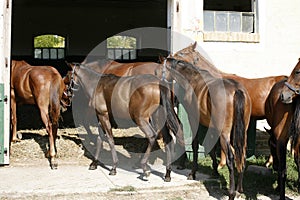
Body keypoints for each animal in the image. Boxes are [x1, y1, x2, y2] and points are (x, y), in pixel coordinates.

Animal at [163, 57, 252, 199]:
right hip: (242, 132)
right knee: (241, 155)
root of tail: (237, 90)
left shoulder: (193, 119)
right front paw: (215, 171)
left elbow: (195, 145)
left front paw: (192, 173)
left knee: (231, 157)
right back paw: (239, 189)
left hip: (225, 134)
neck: (192, 79)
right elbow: (212, 147)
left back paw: (232, 193)